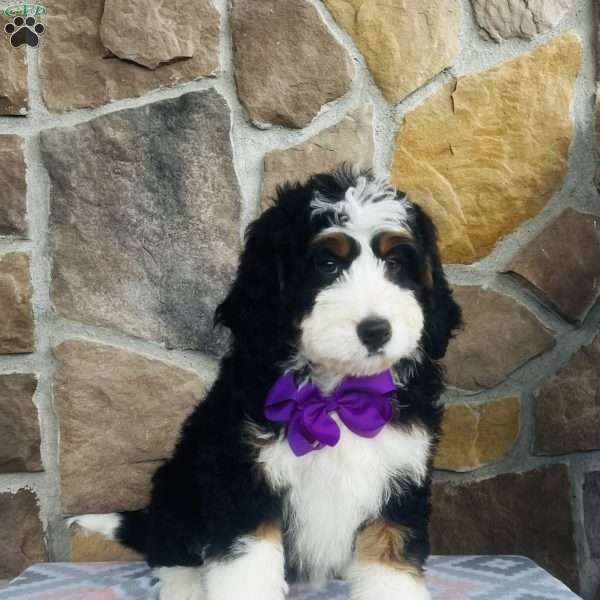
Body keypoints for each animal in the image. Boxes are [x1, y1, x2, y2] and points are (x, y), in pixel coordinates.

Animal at [72, 168, 462, 600]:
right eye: (327, 265)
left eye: (394, 263)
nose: (376, 330)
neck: (336, 395)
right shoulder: (242, 476)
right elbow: (247, 566)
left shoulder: (400, 477)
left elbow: (390, 559)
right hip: (181, 480)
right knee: (168, 544)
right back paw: (187, 585)